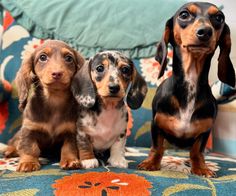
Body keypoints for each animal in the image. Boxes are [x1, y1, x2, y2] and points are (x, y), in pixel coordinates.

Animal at [4, 39, 84, 172]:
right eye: (42, 57)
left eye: (69, 58)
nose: (57, 73)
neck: (54, 99)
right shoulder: (29, 129)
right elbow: (29, 147)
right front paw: (28, 162)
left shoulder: (71, 131)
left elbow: (69, 147)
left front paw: (70, 160)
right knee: (14, 142)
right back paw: (9, 150)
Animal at [137, 1, 235, 178]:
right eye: (184, 15)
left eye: (219, 17)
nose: (205, 32)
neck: (190, 83)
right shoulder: (157, 124)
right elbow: (157, 147)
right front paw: (151, 163)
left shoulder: (205, 131)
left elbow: (197, 151)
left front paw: (201, 168)